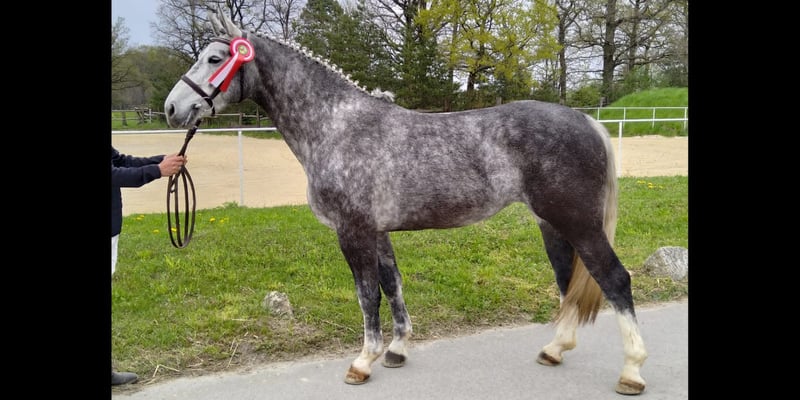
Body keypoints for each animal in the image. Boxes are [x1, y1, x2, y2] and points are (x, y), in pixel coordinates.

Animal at [164, 9, 648, 395]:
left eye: (215, 59)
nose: (172, 108)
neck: (337, 126)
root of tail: (587, 121)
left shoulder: (353, 231)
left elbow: (366, 295)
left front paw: (363, 362)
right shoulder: (378, 231)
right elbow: (392, 284)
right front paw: (396, 350)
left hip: (578, 223)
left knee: (614, 280)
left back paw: (632, 372)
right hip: (553, 226)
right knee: (569, 282)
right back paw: (555, 349)